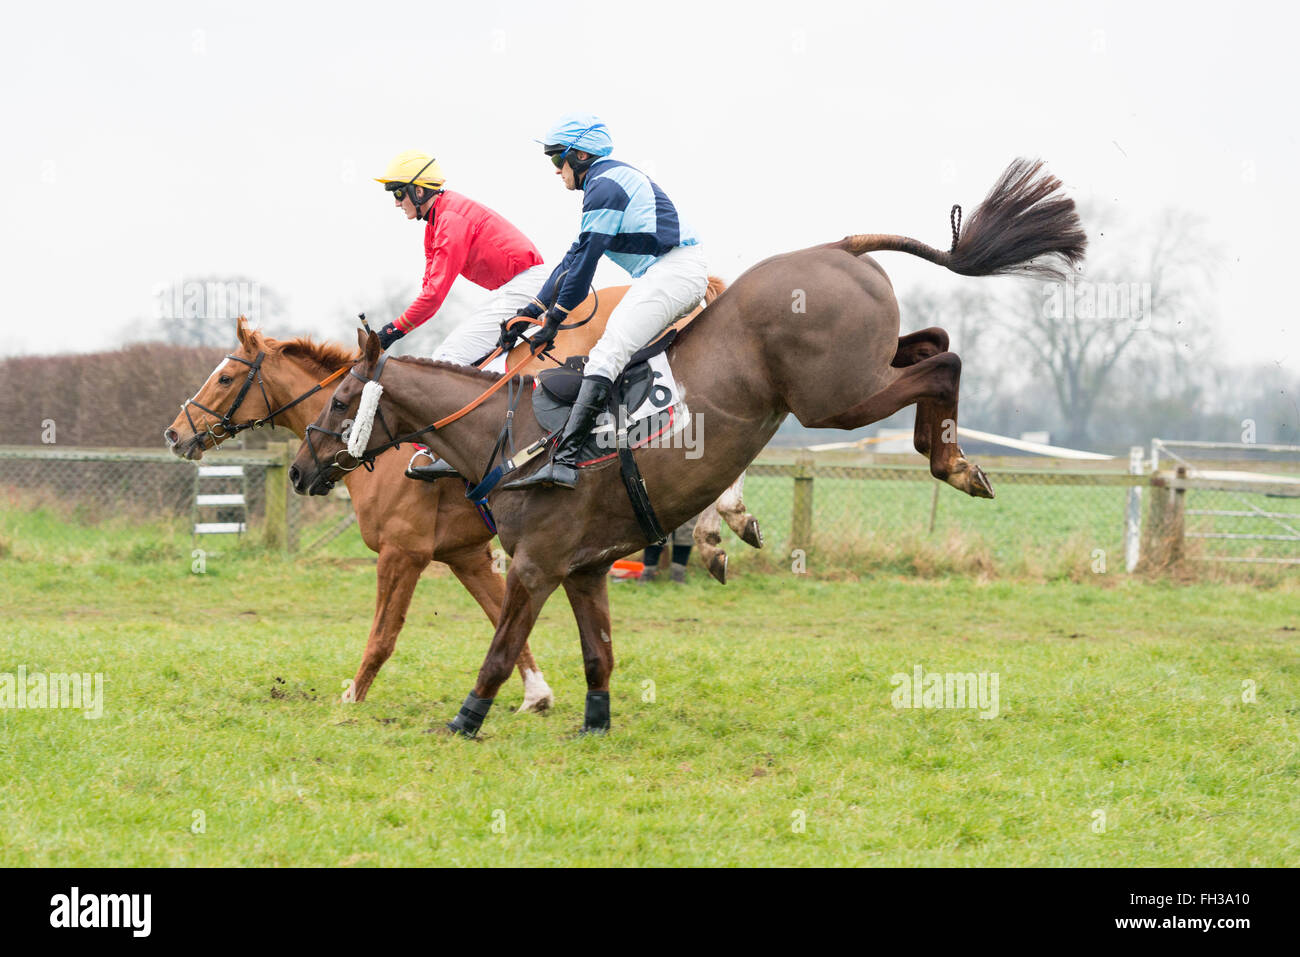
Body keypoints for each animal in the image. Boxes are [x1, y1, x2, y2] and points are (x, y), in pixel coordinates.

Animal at [163, 278, 754, 711]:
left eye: (224, 378)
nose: (174, 433)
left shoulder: (403, 553)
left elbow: (384, 633)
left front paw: (352, 695)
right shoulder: (466, 554)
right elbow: (502, 619)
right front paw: (535, 693)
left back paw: (723, 524)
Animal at [289, 158, 1087, 736]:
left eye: (337, 401)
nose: (299, 470)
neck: (506, 435)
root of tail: (839, 245)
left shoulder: (533, 565)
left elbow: (495, 653)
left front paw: (461, 721)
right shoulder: (584, 568)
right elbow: (599, 655)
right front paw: (594, 724)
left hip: (832, 397)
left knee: (943, 362)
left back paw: (953, 462)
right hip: (859, 371)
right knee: (933, 341)